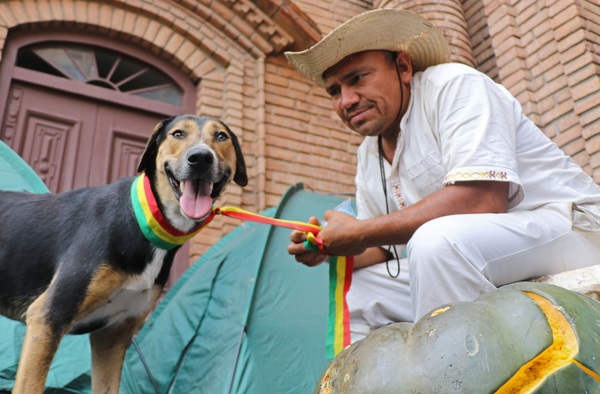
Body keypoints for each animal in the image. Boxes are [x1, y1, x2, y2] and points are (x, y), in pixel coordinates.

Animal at [0, 113, 247, 390]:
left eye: (221, 136)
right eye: (178, 134)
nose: (201, 158)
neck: (143, 221)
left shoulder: (112, 337)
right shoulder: (49, 316)